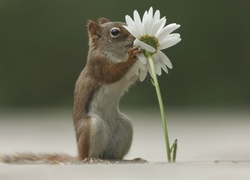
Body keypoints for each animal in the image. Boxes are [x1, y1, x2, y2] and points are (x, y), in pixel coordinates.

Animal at [0, 17, 145, 163]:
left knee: (113, 156)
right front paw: (132, 56)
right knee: (88, 154)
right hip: (92, 126)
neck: (117, 54)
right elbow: (113, 73)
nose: (136, 37)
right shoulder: (99, 65)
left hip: (124, 127)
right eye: (115, 32)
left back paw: (131, 160)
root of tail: (78, 156)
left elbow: (132, 77)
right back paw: (92, 159)